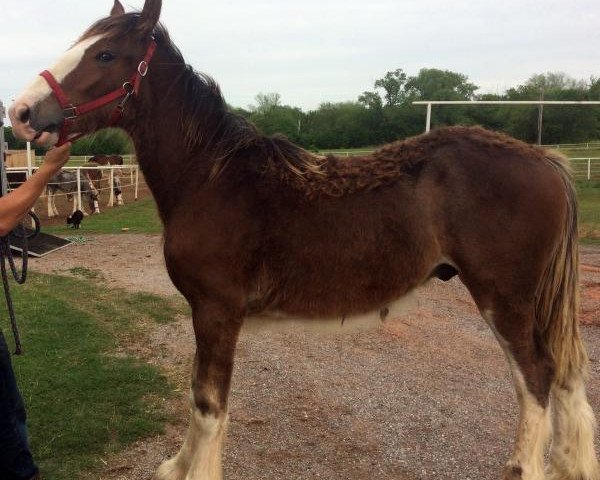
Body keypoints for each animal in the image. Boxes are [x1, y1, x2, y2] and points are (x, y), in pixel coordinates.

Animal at [5, 1, 600, 478]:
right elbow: (198, 397)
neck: (213, 176)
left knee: (535, 377)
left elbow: (209, 404)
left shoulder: (218, 311)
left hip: (506, 299)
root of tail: (545, 160)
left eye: (105, 54)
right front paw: (176, 465)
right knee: (560, 379)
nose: (22, 113)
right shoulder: (205, 312)